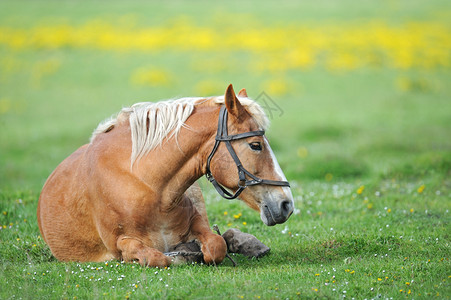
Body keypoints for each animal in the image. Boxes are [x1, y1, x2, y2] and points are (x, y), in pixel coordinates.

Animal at [37, 84, 294, 268]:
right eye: (255, 145)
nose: (287, 204)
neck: (149, 188)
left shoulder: (198, 224)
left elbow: (216, 245)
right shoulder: (119, 245)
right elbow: (158, 258)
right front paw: (183, 254)